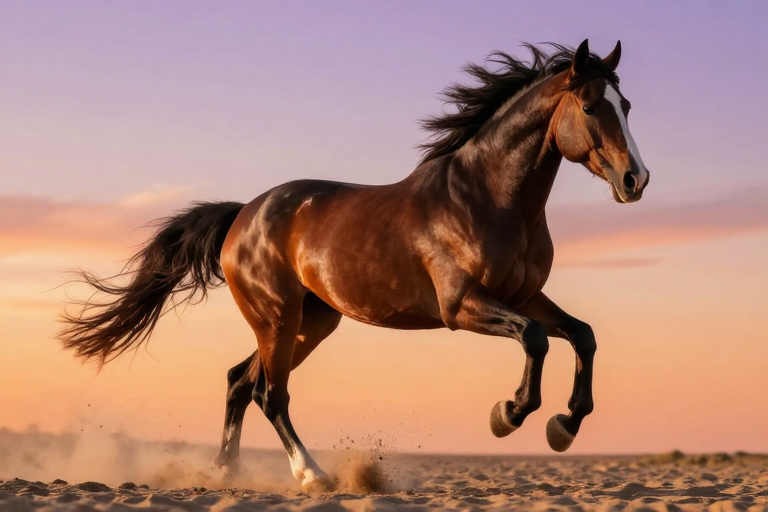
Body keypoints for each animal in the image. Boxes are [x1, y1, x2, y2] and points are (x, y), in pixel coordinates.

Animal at [60, 39, 650, 488]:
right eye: (591, 107)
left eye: (627, 105)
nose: (636, 180)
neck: (489, 198)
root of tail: (243, 216)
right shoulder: (461, 306)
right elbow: (535, 338)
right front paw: (509, 415)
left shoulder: (524, 296)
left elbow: (582, 335)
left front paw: (564, 426)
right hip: (278, 318)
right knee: (269, 393)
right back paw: (311, 474)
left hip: (312, 321)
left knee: (238, 381)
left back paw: (225, 473)